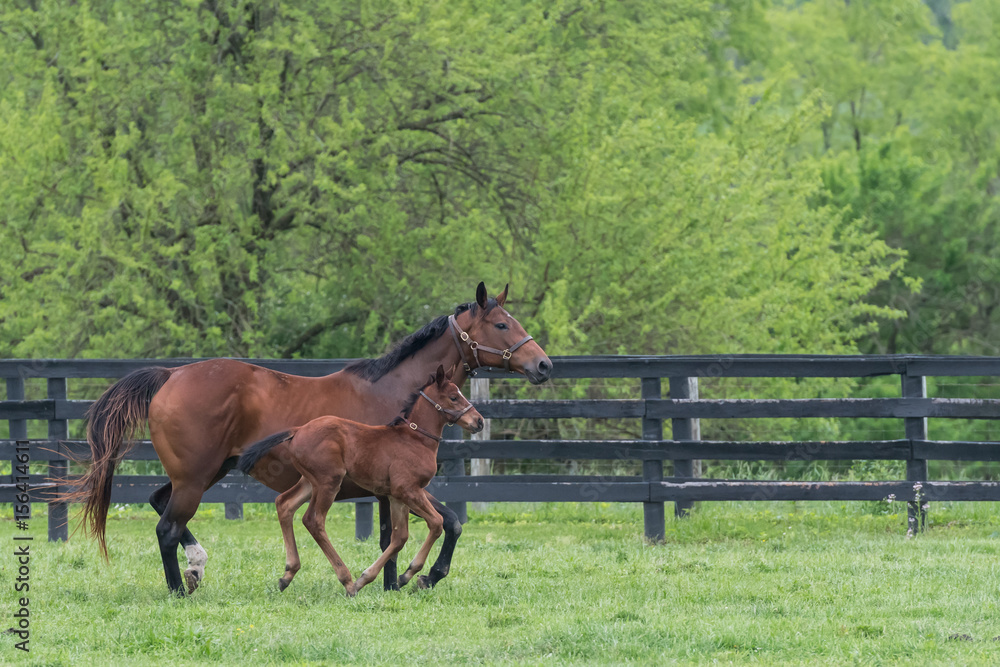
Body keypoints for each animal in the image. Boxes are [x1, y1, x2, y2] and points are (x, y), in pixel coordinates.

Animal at [236, 368, 482, 596]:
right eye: (453, 397)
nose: (478, 421)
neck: (415, 439)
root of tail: (298, 430)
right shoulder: (408, 489)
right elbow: (436, 523)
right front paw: (406, 575)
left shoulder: (396, 496)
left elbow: (400, 537)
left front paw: (393, 578)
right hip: (329, 482)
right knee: (313, 520)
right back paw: (346, 581)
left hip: (309, 481)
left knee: (284, 503)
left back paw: (287, 575)